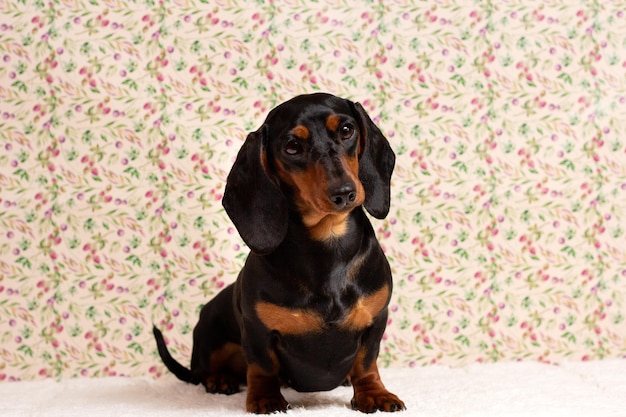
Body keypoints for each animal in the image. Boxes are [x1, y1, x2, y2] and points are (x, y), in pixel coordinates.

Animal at [154, 93, 402, 412]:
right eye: (292, 147)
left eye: (347, 130)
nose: (344, 192)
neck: (328, 245)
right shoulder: (257, 330)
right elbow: (263, 367)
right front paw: (265, 398)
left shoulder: (375, 322)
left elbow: (366, 362)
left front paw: (374, 393)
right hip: (210, 332)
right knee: (205, 371)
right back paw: (219, 379)